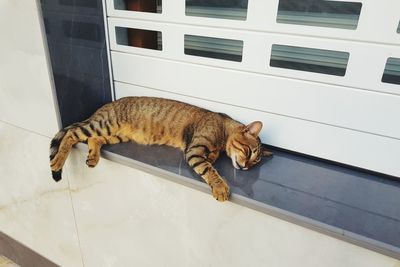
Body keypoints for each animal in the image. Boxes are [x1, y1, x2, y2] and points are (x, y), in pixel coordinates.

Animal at [49, 97, 272, 202]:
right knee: (71, 134)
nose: (246, 167)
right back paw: (57, 162)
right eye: (249, 152)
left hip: (115, 134)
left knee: (93, 139)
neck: (223, 128)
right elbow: (210, 169)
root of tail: (104, 106)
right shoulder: (194, 151)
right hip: (104, 124)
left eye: (255, 163)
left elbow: (212, 160)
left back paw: (93, 157)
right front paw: (221, 187)